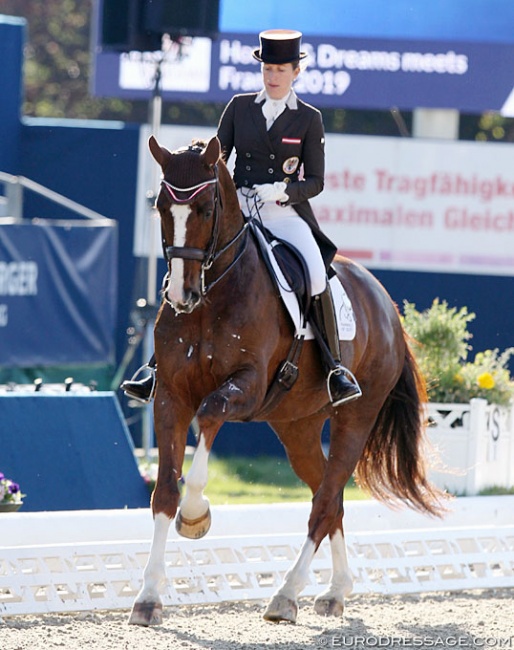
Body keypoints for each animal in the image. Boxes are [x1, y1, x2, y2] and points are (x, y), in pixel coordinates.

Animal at [129, 135, 444, 624]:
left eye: (204, 208)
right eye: (162, 206)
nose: (181, 296)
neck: (213, 294)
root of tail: (385, 302)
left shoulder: (246, 386)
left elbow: (209, 420)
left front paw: (196, 514)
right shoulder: (171, 397)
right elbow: (162, 493)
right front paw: (147, 597)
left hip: (357, 416)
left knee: (325, 501)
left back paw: (286, 595)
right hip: (297, 426)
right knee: (330, 499)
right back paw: (335, 590)